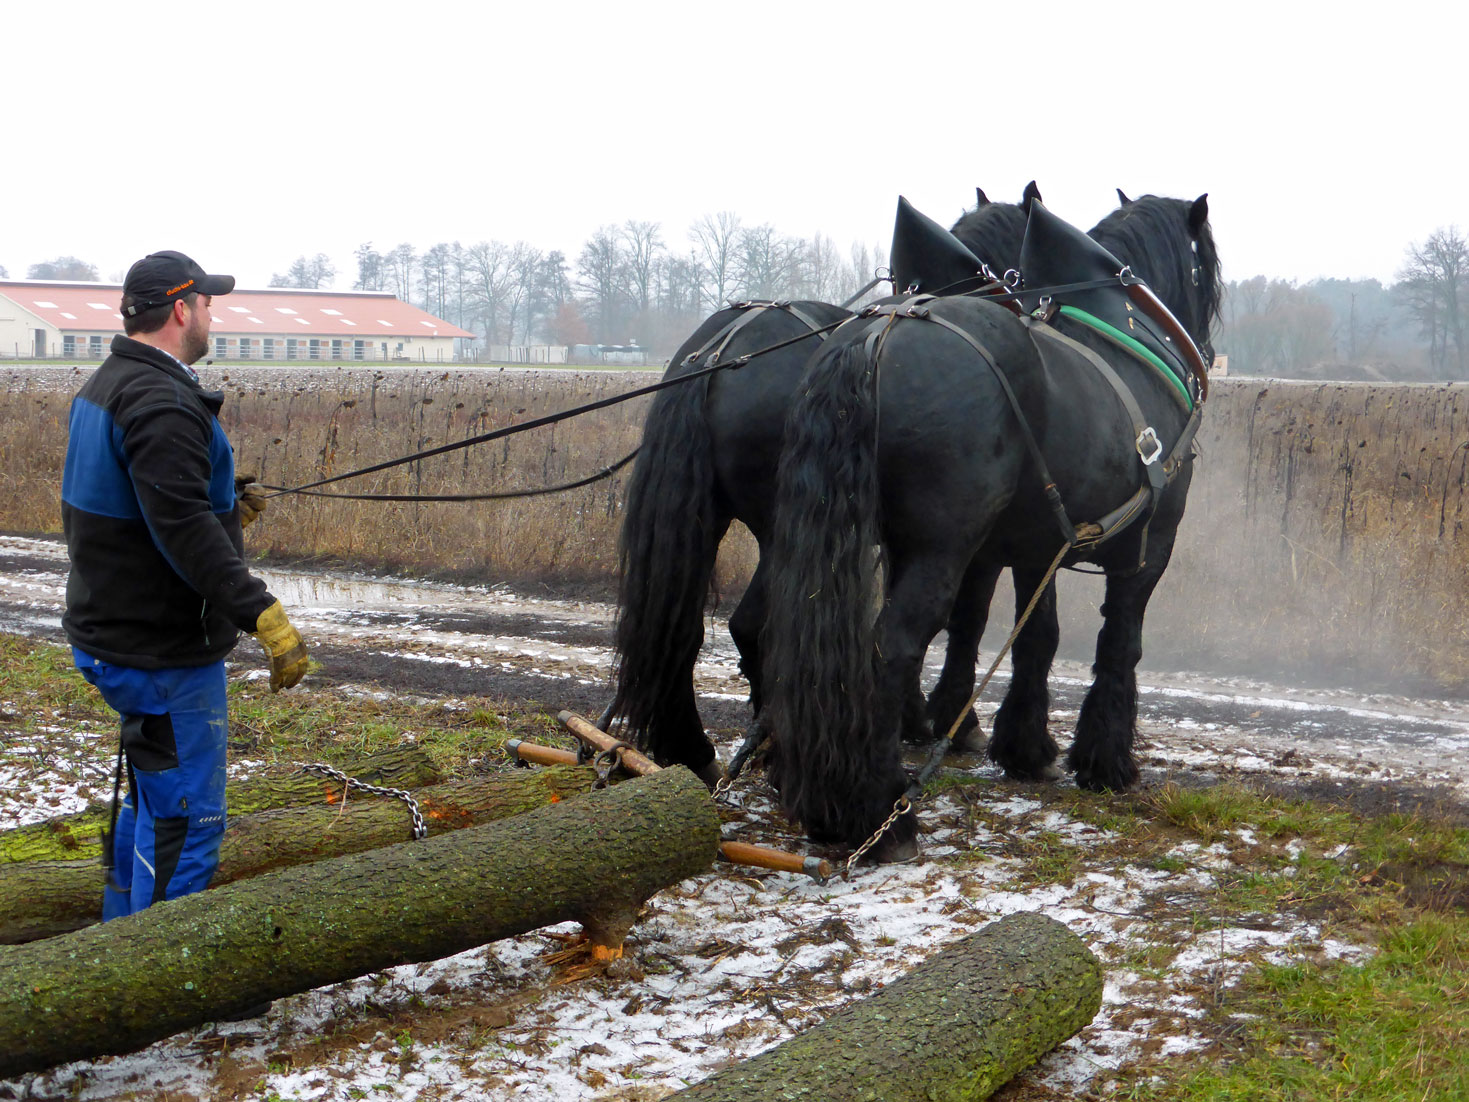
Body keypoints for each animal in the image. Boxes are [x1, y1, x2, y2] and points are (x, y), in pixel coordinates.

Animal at [602, 189, 1040, 781]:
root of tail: (721, 351)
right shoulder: (949, 541)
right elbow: (948, 622)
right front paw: (942, 723)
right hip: (778, 530)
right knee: (755, 625)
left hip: (709, 519)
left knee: (685, 627)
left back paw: (698, 746)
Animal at [758, 193, 1216, 858]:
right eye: (1207, 268)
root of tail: (877, 334)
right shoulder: (1150, 548)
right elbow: (1119, 644)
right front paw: (1105, 761)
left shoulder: (1035, 546)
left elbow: (1034, 636)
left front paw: (1023, 746)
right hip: (940, 550)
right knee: (891, 647)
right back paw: (881, 814)